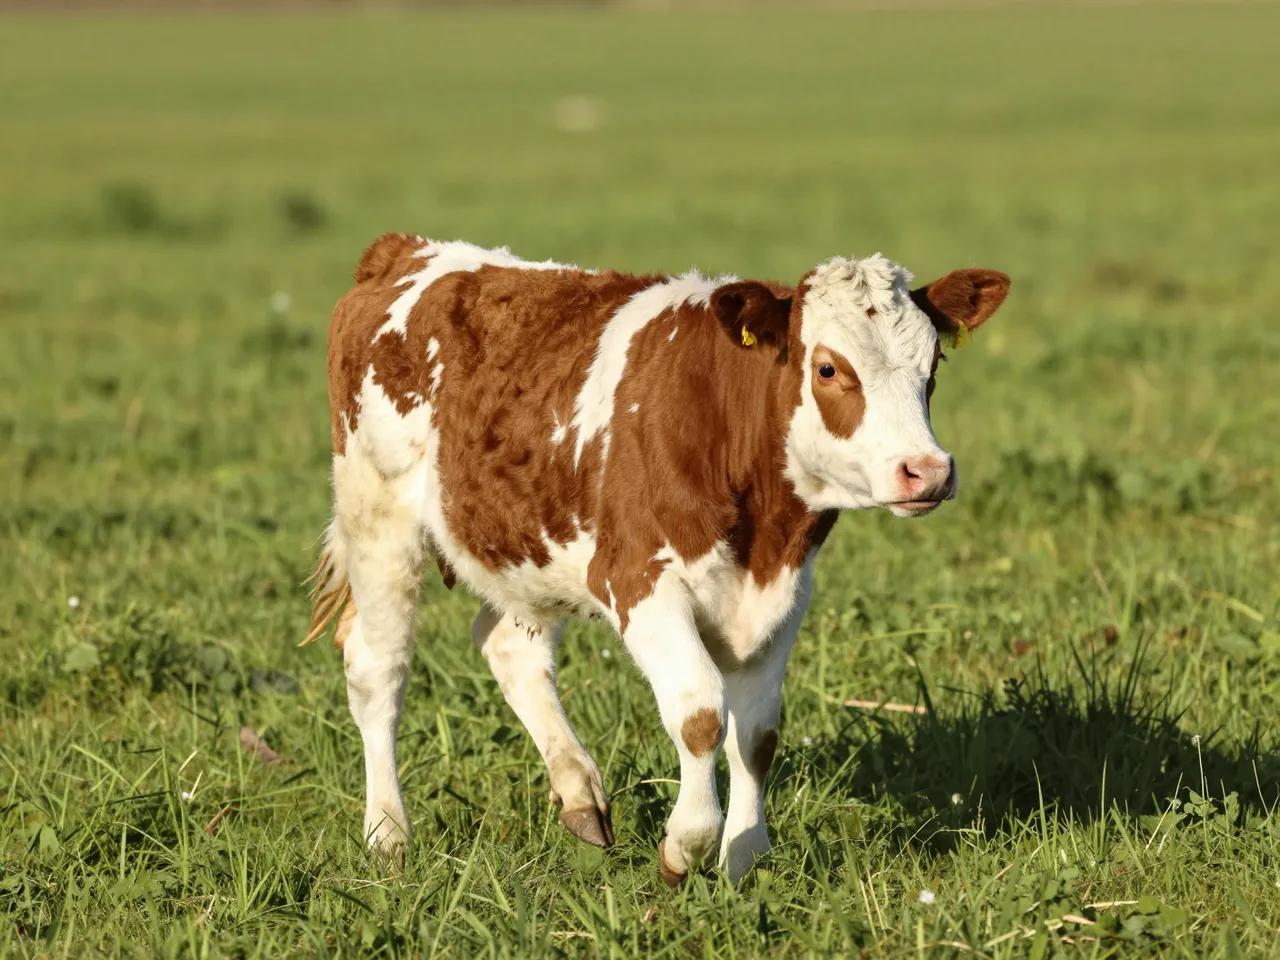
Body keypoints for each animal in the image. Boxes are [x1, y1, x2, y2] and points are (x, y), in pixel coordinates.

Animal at [302, 233, 1010, 885]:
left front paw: (744, 860)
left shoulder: (785, 592)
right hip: (378, 518)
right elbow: (700, 713)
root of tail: (407, 250)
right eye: (830, 369)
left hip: (524, 545)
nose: (926, 470)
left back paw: (579, 795)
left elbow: (757, 735)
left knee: (508, 645)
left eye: (933, 365)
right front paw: (686, 846)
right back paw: (388, 835)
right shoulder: (637, 579)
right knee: (377, 667)